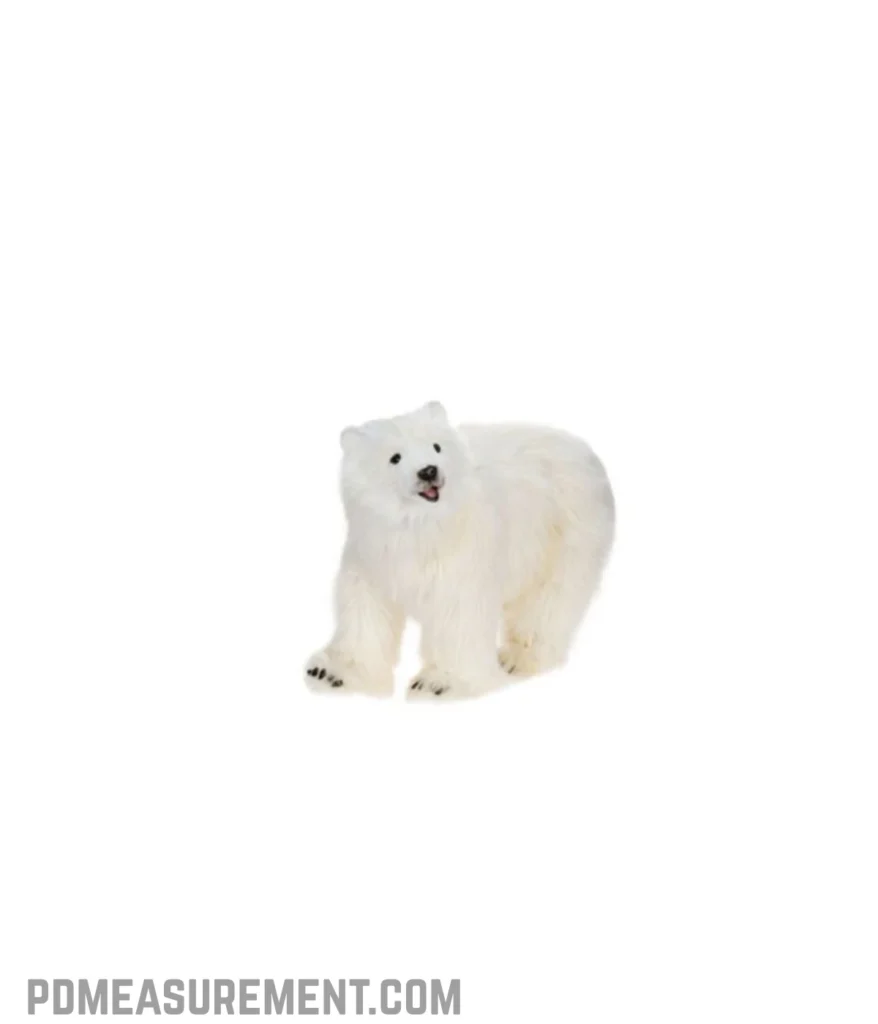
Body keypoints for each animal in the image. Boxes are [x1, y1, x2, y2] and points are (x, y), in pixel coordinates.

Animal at [305, 401, 615, 699]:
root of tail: (584, 449)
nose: (429, 471)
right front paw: (332, 673)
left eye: (436, 446)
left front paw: (438, 683)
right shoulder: (372, 553)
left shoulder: (463, 557)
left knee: (550, 600)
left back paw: (517, 658)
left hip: (566, 531)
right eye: (395, 457)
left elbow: (458, 615)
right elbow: (365, 609)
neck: (422, 527)